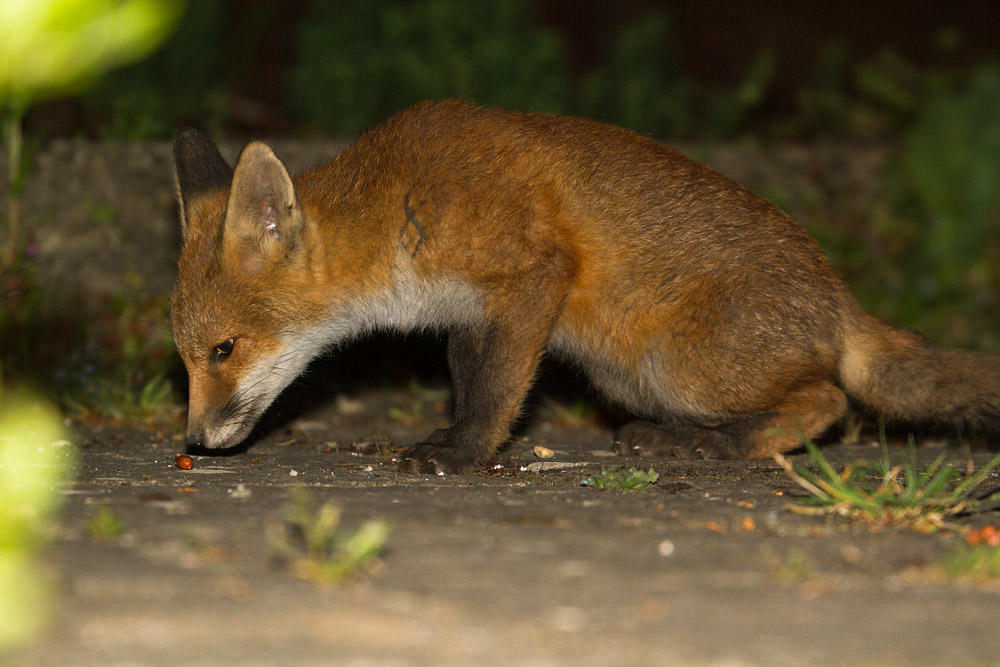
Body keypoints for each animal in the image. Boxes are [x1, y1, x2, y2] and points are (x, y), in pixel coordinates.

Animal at [170, 99, 1000, 474]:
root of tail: (840, 299)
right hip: (629, 379)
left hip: (681, 364)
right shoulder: (469, 313)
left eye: (223, 350)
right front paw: (453, 434)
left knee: (828, 398)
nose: (195, 441)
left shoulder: (532, 274)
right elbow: (472, 381)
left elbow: (498, 393)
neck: (396, 201)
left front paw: (465, 453)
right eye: (184, 358)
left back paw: (725, 443)